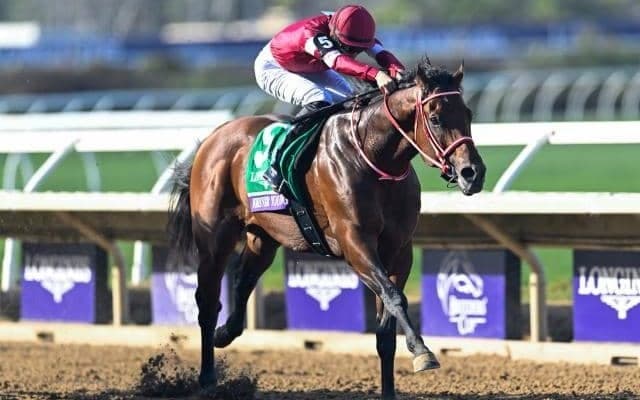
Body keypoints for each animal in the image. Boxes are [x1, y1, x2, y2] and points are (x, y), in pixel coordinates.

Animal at [168, 58, 486, 399]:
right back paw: (207, 378)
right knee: (206, 301)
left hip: (263, 238)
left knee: (243, 282)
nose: (472, 173)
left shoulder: (400, 250)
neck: (373, 156)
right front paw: (422, 352)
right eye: (436, 118)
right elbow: (395, 297)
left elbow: (386, 327)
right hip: (214, 239)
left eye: (468, 114)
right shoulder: (354, 243)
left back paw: (225, 333)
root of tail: (212, 138)